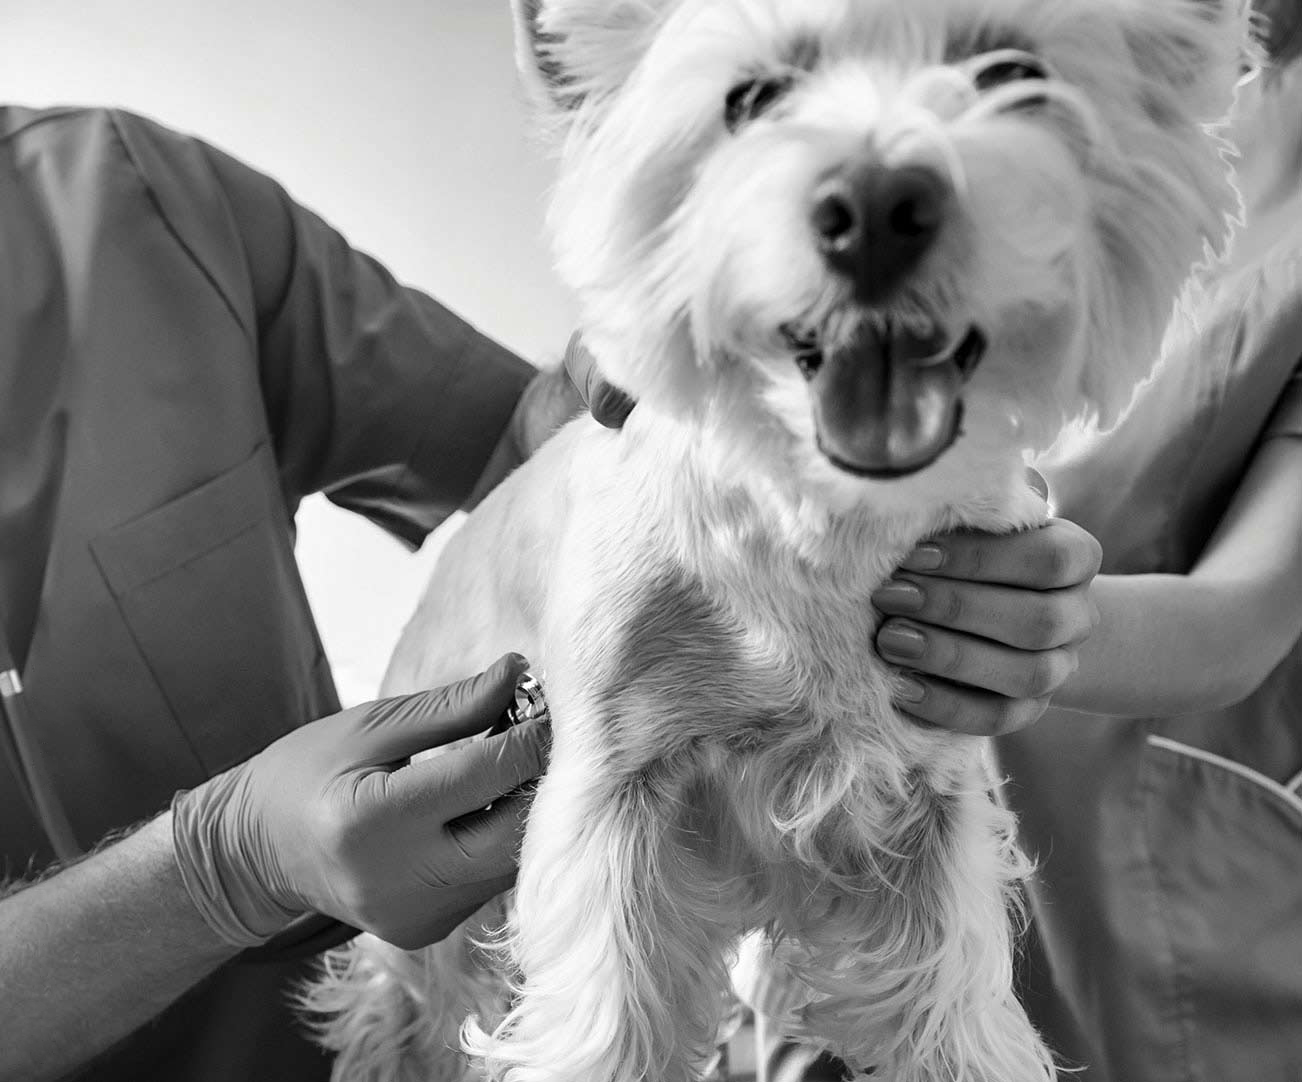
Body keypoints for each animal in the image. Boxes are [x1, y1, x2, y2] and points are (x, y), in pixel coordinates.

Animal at [302, 2, 1239, 1082]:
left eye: (1012, 73)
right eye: (749, 98)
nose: (876, 203)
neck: (821, 524)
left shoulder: (935, 813)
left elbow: (957, 1023)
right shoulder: (613, 804)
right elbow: (608, 1026)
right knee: (404, 992)